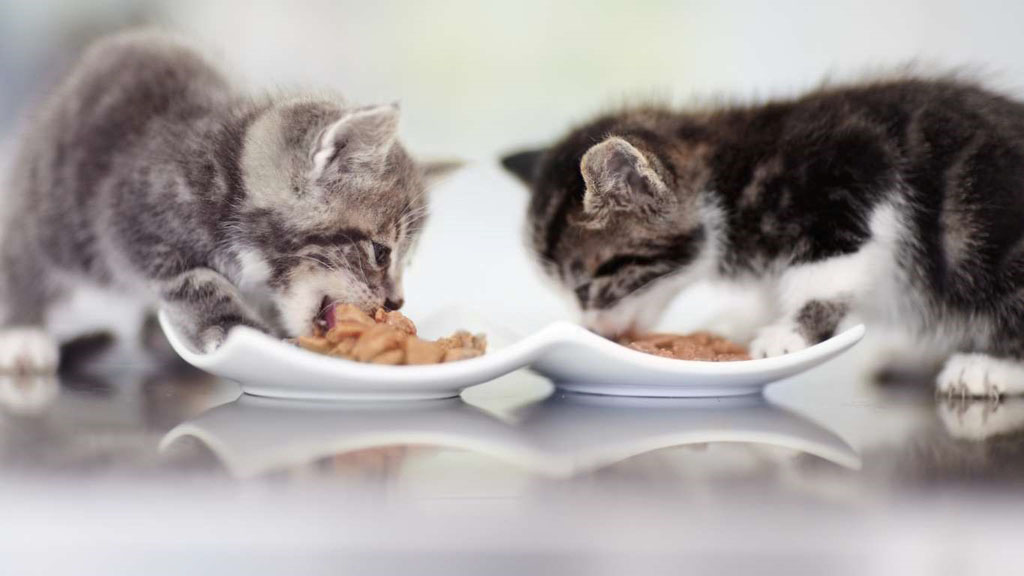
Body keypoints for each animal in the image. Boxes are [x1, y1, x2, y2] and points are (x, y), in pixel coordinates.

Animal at [0, 32, 440, 373]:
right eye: (380, 252)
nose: (396, 301)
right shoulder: (130, 224)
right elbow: (197, 281)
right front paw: (233, 328)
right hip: (56, 212)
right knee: (23, 252)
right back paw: (23, 331)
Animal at [503, 78, 1024, 397]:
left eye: (588, 285)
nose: (593, 330)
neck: (723, 179)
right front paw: (740, 322)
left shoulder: (851, 180)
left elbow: (826, 274)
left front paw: (787, 336)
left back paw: (987, 367)